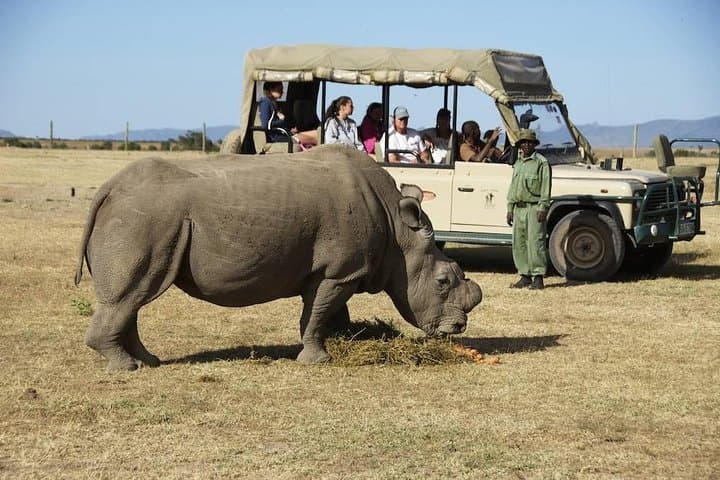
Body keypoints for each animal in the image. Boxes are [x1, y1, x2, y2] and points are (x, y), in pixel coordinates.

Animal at [74, 145, 482, 371]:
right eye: (443, 281)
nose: (458, 329)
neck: (399, 232)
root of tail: (109, 189)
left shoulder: (336, 271)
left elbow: (329, 311)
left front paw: (345, 340)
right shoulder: (340, 271)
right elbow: (317, 312)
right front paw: (319, 360)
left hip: (144, 218)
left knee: (132, 297)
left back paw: (148, 361)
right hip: (144, 219)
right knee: (131, 295)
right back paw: (126, 368)